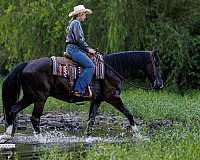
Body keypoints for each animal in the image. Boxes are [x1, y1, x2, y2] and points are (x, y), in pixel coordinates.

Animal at [0, 50, 162, 141]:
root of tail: (27, 64)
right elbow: (129, 114)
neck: (111, 70)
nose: (159, 84)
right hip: (40, 97)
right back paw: (41, 139)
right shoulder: (113, 98)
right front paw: (139, 135)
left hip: (29, 96)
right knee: (34, 118)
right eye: (157, 64)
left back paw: (8, 134)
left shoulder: (97, 100)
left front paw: (88, 138)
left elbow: (91, 121)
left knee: (13, 110)